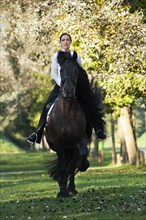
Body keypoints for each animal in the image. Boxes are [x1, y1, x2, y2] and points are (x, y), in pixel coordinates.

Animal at [46, 51, 105, 198]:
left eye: (76, 71)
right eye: (61, 70)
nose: (67, 92)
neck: (67, 112)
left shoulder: (80, 140)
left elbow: (82, 155)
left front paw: (84, 165)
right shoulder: (59, 144)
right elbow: (62, 165)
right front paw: (61, 191)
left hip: (72, 148)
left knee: (71, 165)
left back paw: (71, 188)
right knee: (64, 165)